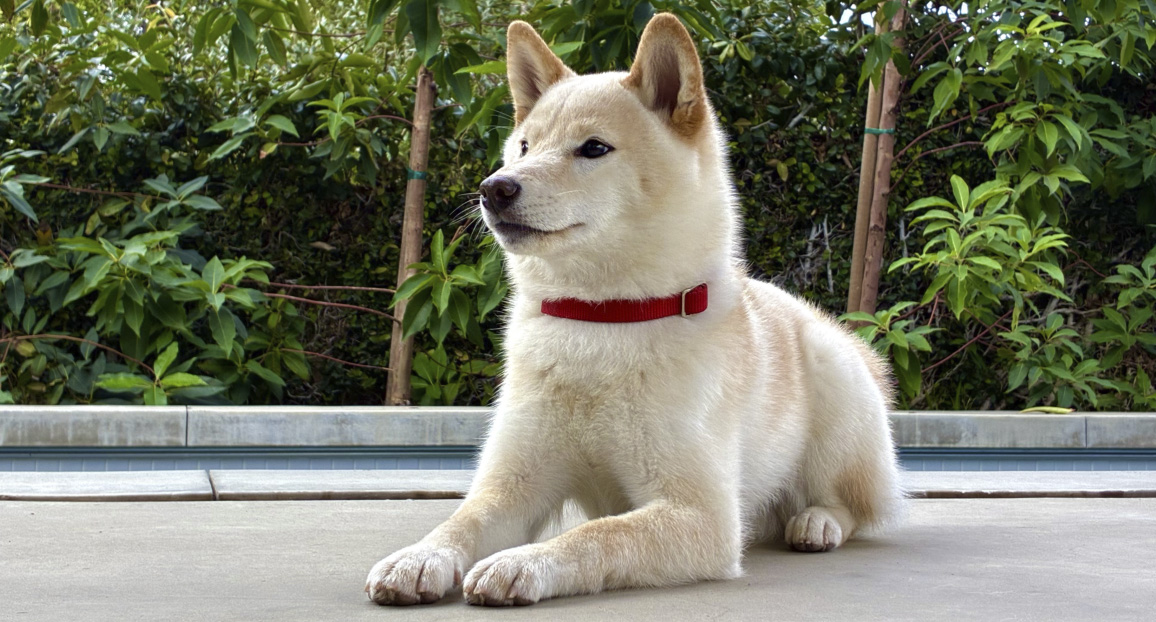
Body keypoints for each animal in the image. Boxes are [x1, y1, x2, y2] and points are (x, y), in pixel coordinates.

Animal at [366, 13, 902, 606]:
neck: (603, 320)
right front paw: (420, 556)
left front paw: (524, 562)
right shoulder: (513, 483)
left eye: (594, 148)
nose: (494, 188)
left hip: (835, 387)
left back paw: (817, 521)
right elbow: (463, 520)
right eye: (524, 147)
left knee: (855, 505)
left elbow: (597, 535)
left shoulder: (701, 515)